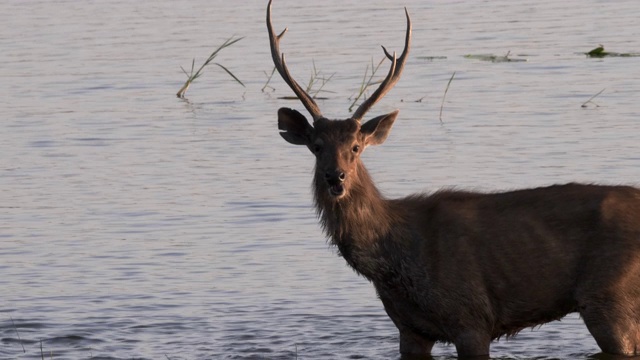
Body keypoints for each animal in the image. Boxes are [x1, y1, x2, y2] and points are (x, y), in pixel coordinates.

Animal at [268, 0, 640, 358]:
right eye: (317, 147)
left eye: (356, 147)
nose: (336, 177)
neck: (395, 261)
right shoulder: (410, 329)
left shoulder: (471, 316)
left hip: (608, 294)